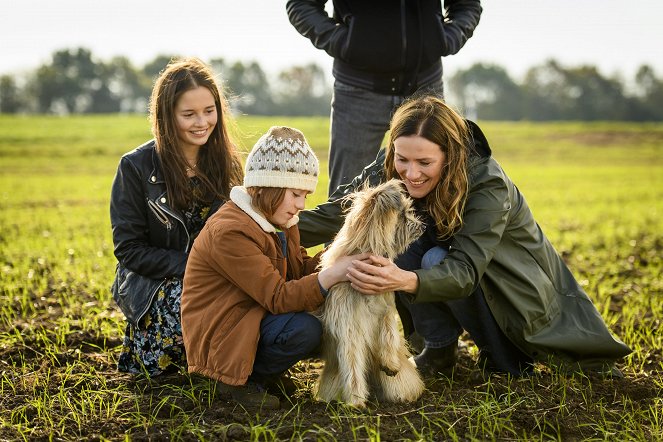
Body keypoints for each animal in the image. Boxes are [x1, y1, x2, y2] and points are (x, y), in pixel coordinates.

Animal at [316, 179, 426, 408]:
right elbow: (352, 366)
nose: (423, 226)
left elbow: (389, 330)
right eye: (403, 215)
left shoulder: (386, 306)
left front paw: (390, 362)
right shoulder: (349, 330)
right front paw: (356, 401)